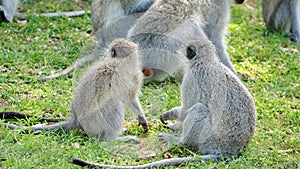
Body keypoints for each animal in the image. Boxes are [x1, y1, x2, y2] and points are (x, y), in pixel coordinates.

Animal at [0, 38, 149, 141]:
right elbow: (129, 99)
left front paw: (142, 120)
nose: (106, 55)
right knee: (113, 103)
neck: (125, 61)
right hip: (94, 121)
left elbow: (130, 99)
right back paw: (111, 139)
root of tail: (75, 119)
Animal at [70, 38, 255, 169]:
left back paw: (179, 141)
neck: (206, 61)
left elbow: (186, 109)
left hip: (208, 139)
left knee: (199, 109)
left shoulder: (191, 78)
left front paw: (168, 117)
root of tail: (229, 151)